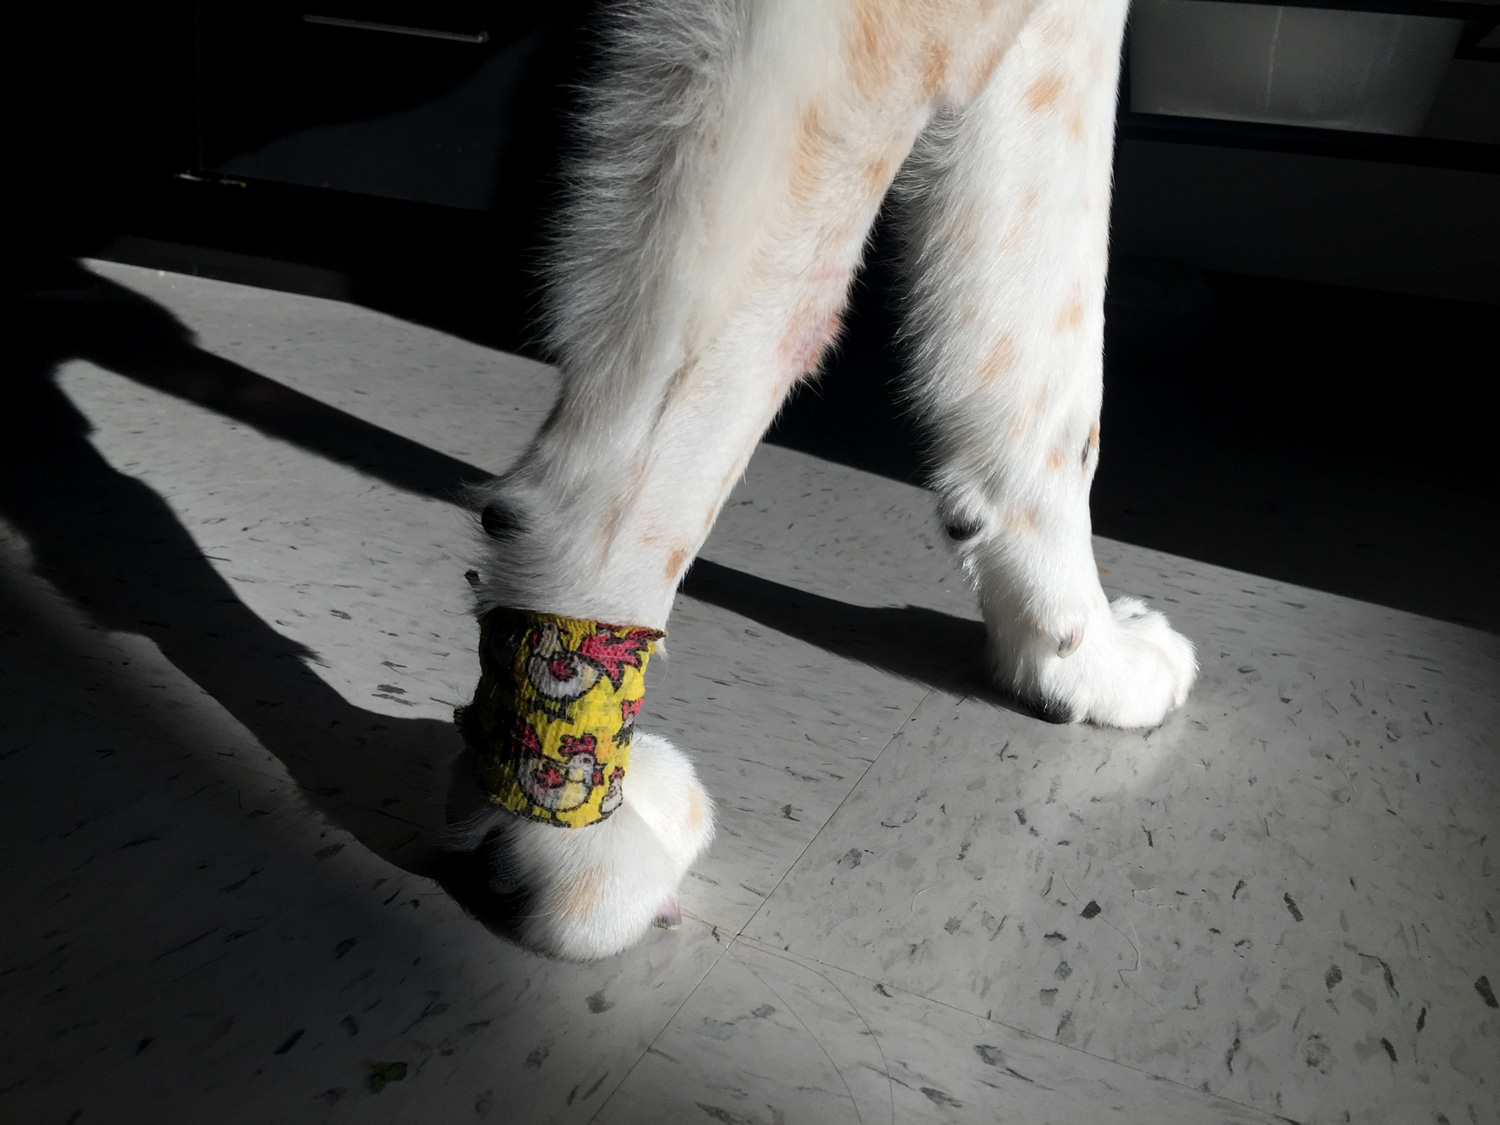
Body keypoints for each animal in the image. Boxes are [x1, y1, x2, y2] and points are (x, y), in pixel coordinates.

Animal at [451, 0, 1197, 960]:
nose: (1081, 644)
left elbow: (1049, 366)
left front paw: (1081, 649)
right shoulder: (841, 37)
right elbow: (682, 424)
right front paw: (561, 834)